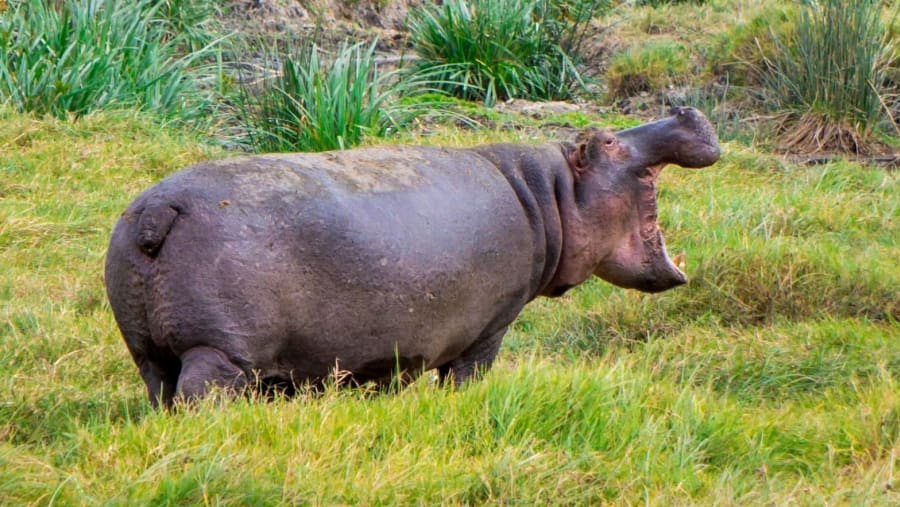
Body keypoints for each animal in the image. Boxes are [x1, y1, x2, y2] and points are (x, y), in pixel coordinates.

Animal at [105, 107, 720, 407]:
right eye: (610, 140)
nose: (684, 108)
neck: (552, 193)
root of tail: (159, 209)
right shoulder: (491, 326)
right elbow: (468, 378)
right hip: (220, 353)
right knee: (201, 397)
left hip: (148, 351)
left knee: (160, 390)